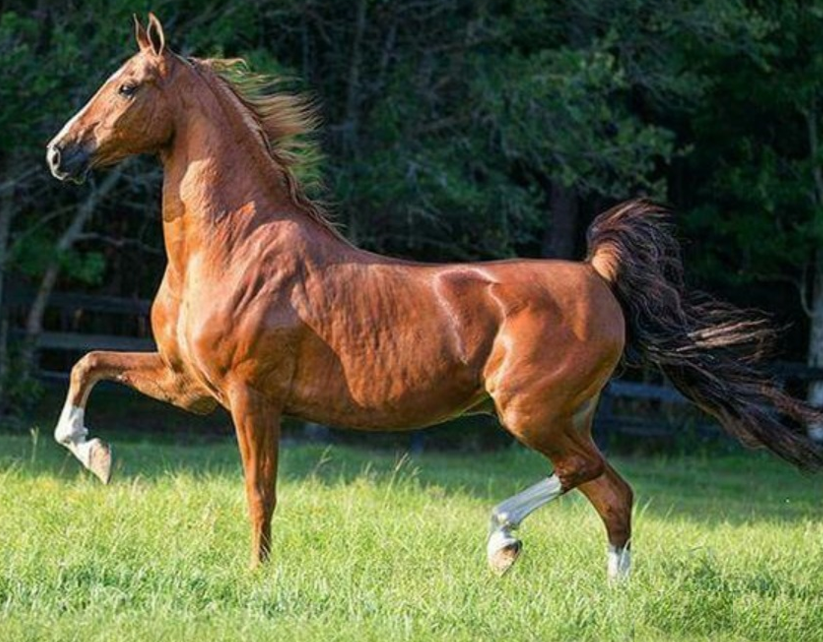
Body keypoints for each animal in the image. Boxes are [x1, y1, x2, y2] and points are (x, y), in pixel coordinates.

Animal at [46, 15, 823, 576]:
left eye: (126, 87)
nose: (59, 153)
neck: (233, 247)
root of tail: (599, 275)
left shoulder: (248, 396)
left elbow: (259, 493)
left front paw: (258, 575)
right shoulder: (188, 382)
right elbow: (87, 362)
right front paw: (95, 455)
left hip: (529, 411)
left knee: (585, 475)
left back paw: (502, 542)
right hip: (567, 414)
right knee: (614, 494)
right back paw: (610, 596)